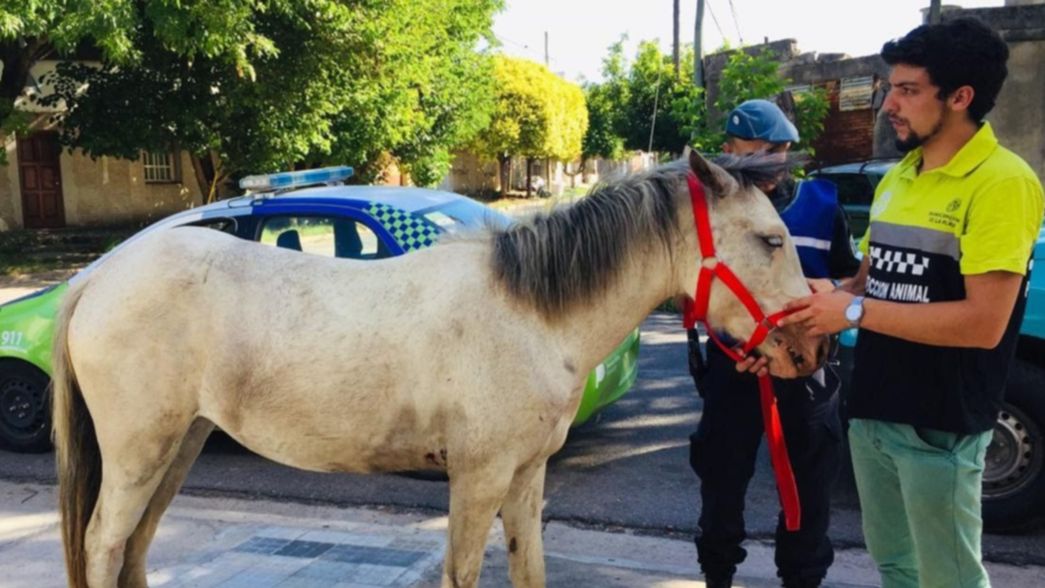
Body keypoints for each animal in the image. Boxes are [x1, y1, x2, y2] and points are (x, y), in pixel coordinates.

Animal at [52, 151, 829, 588]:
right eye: (770, 240)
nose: (811, 351)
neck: (529, 314)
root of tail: (95, 277)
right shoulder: (477, 478)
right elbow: (462, 573)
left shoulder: (525, 477)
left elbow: (528, 570)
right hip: (138, 454)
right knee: (104, 545)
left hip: (178, 445)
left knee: (134, 547)